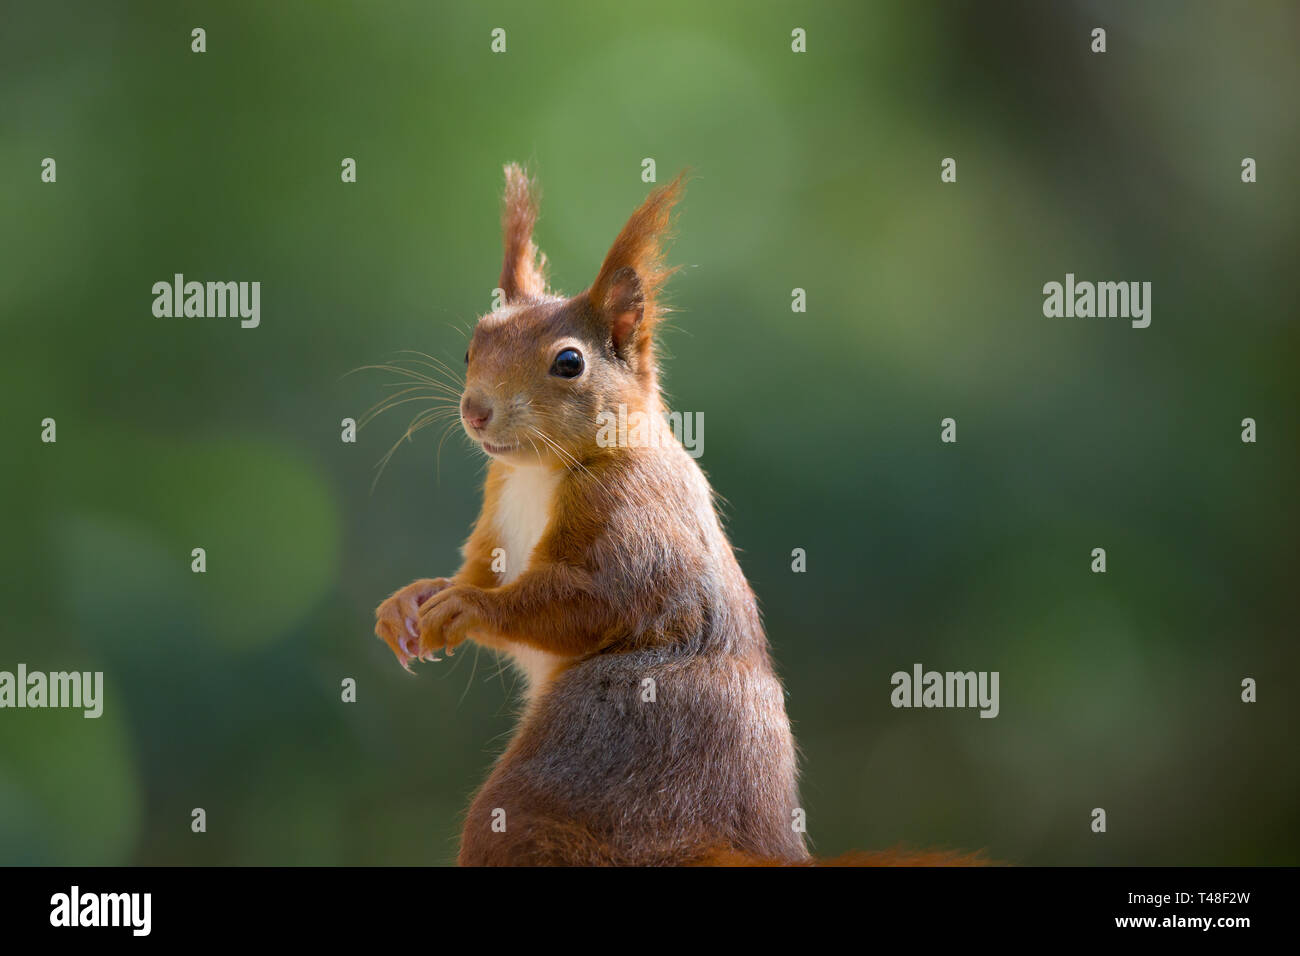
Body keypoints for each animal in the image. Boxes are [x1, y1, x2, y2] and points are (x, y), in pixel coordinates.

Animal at [374, 165, 986, 867]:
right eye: (473, 347)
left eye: (568, 362)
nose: (476, 412)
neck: (542, 469)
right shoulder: (499, 503)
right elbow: (481, 570)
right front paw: (413, 601)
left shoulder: (634, 514)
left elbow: (595, 600)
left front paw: (469, 609)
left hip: (606, 749)